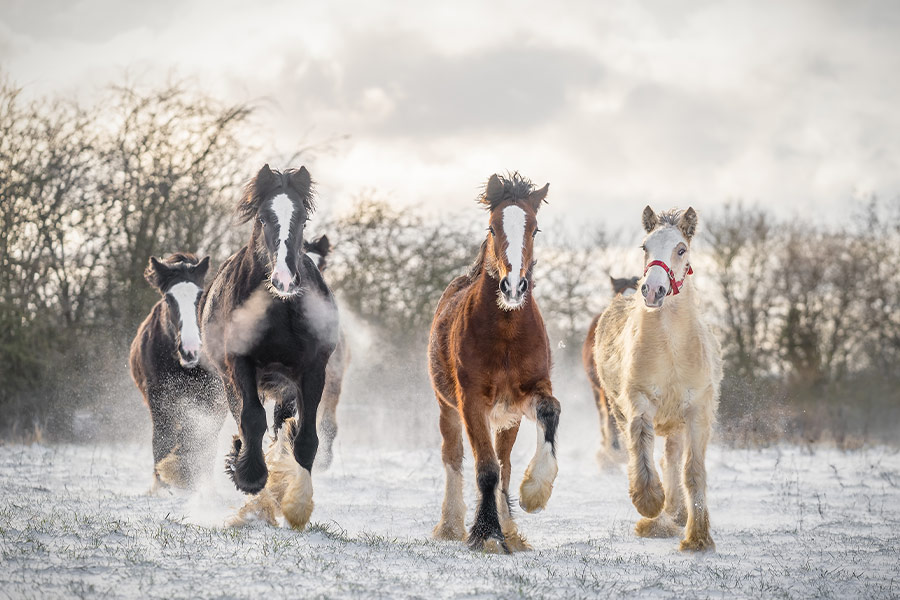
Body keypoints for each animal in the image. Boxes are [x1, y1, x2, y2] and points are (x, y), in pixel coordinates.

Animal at [129, 253, 225, 492]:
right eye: (168, 299)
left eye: (200, 296)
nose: (190, 350)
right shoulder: (159, 399)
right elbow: (163, 439)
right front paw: (162, 484)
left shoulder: (214, 399)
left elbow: (203, 440)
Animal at [200, 164, 339, 530]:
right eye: (263, 218)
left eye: (302, 218)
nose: (285, 280)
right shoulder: (239, 364)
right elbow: (251, 420)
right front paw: (250, 477)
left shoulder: (312, 370)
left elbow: (305, 439)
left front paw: (297, 504)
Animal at [428, 172, 561, 553]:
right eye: (492, 227)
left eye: (535, 229)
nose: (513, 287)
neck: (506, 333)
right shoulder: (471, 401)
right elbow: (485, 469)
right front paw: (486, 534)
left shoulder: (527, 395)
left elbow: (551, 412)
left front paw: (534, 493)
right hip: (447, 409)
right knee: (454, 457)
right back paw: (450, 525)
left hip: (507, 420)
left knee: (505, 464)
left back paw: (510, 528)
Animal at [593, 206, 722, 552]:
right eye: (645, 247)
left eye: (681, 249)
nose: (652, 290)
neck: (671, 349)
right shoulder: (639, 401)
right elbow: (641, 446)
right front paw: (650, 504)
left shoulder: (697, 410)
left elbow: (692, 471)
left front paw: (698, 536)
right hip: (619, 410)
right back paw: (660, 517)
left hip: (677, 422)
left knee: (673, 460)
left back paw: (677, 512)